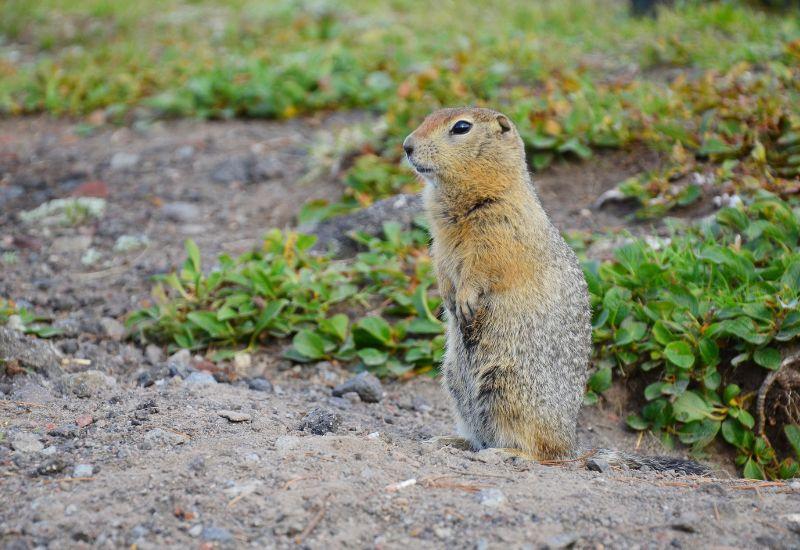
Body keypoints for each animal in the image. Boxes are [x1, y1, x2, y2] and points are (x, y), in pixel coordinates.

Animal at [406, 109, 708, 478]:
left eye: (461, 127)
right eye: (428, 116)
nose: (406, 146)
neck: (460, 200)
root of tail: (572, 444)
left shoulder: (500, 230)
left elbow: (483, 268)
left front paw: (463, 300)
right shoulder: (440, 240)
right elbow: (442, 266)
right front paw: (448, 298)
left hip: (511, 387)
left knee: (544, 453)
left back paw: (505, 453)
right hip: (455, 382)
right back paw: (449, 441)